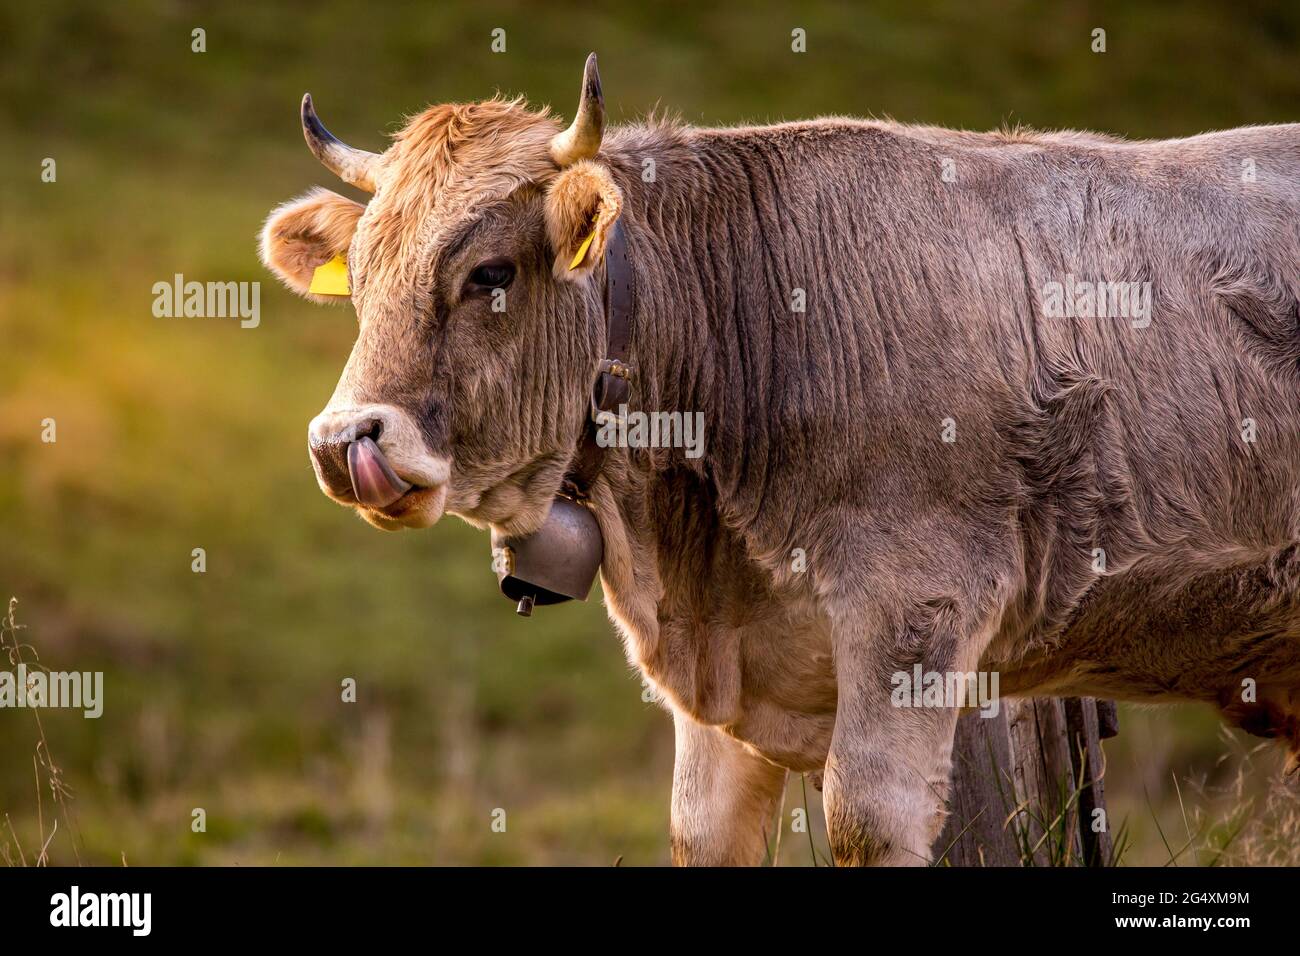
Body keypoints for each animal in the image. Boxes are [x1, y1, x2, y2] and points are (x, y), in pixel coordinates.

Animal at [258, 57, 1300, 868]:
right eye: (361, 278)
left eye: (491, 274)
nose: (344, 442)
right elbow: (700, 833)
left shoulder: (913, 611)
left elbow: (865, 822)